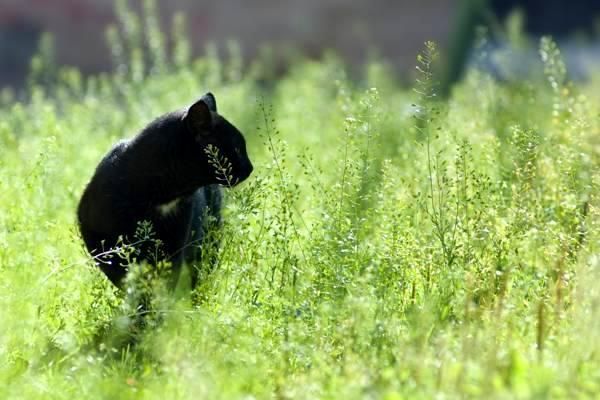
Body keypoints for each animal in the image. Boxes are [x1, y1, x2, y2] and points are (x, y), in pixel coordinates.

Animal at [77, 94, 251, 288]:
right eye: (237, 148)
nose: (250, 167)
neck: (162, 196)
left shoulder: (174, 245)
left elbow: (165, 281)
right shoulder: (101, 241)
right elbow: (123, 275)